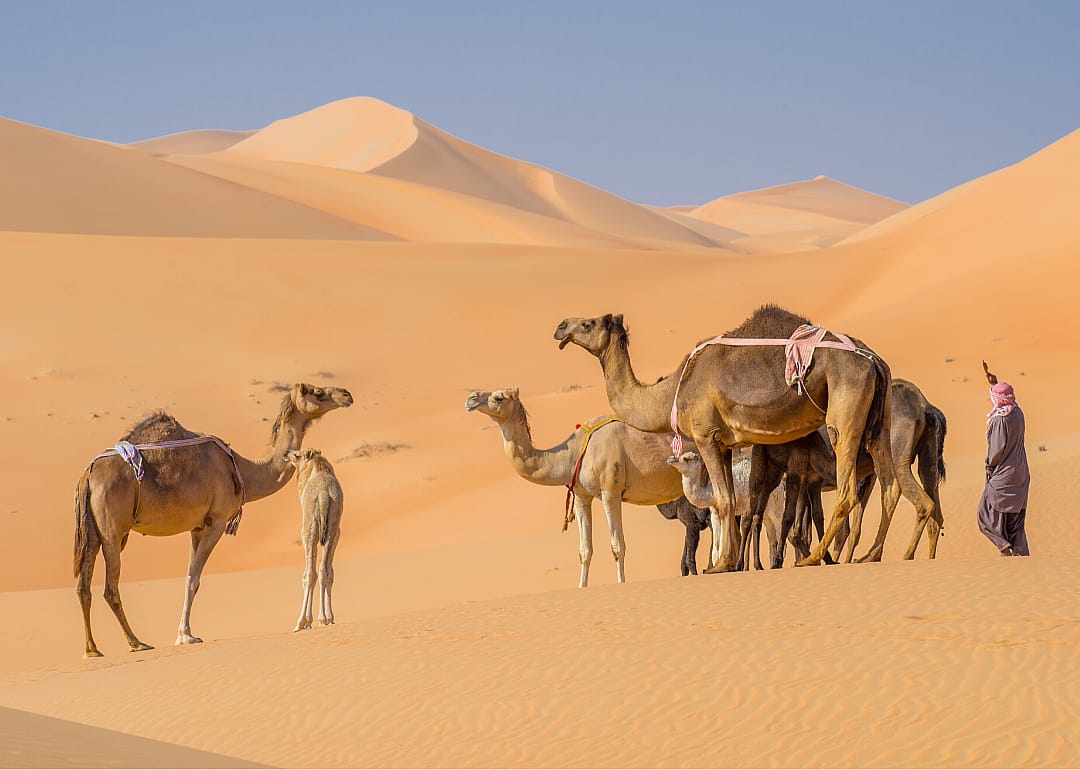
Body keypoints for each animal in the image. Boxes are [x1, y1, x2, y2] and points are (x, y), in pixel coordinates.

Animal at [282, 448, 344, 631]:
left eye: (297, 455)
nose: (286, 453)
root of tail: (323, 495)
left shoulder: (309, 533)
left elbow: (307, 575)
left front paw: (306, 622)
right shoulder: (336, 535)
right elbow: (329, 572)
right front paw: (328, 619)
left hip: (309, 531)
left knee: (310, 574)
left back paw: (301, 621)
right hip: (332, 529)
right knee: (324, 571)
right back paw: (325, 618)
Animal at [465, 387, 734, 587]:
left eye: (499, 397)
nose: (471, 399)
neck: (572, 454)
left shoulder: (609, 491)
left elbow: (617, 545)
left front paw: (621, 583)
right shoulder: (581, 495)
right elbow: (585, 550)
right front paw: (581, 587)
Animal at [554, 306, 931, 568]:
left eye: (588, 324)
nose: (560, 327)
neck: (672, 391)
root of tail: (874, 359)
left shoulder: (704, 435)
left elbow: (723, 501)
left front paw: (721, 565)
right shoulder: (723, 443)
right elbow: (733, 502)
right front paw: (729, 561)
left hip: (846, 404)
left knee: (849, 484)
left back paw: (815, 558)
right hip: (879, 421)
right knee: (890, 484)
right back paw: (871, 555)